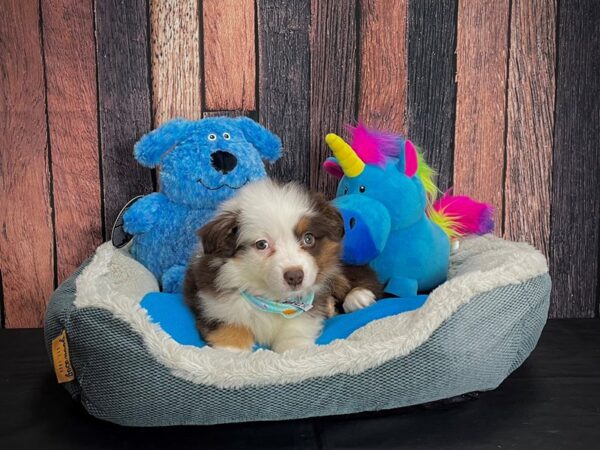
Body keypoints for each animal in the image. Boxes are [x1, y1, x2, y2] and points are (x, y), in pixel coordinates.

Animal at [184, 178, 384, 352]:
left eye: (308, 238)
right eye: (262, 244)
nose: (295, 276)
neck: (272, 299)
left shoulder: (308, 306)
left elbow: (296, 330)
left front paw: (294, 353)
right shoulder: (212, 306)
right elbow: (231, 326)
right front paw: (231, 352)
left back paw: (359, 296)